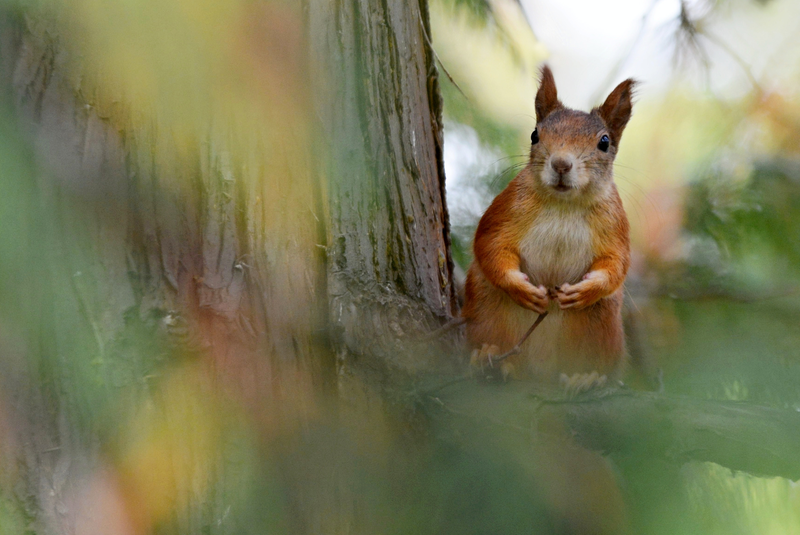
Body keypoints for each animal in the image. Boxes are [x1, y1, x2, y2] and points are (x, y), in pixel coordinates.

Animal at [466, 67, 636, 384]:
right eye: (535, 134)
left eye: (604, 142)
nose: (560, 164)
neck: (563, 204)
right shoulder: (505, 210)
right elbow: (489, 245)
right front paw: (521, 289)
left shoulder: (615, 225)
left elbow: (616, 264)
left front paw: (586, 290)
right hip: (487, 311)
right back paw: (491, 356)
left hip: (601, 326)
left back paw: (585, 377)